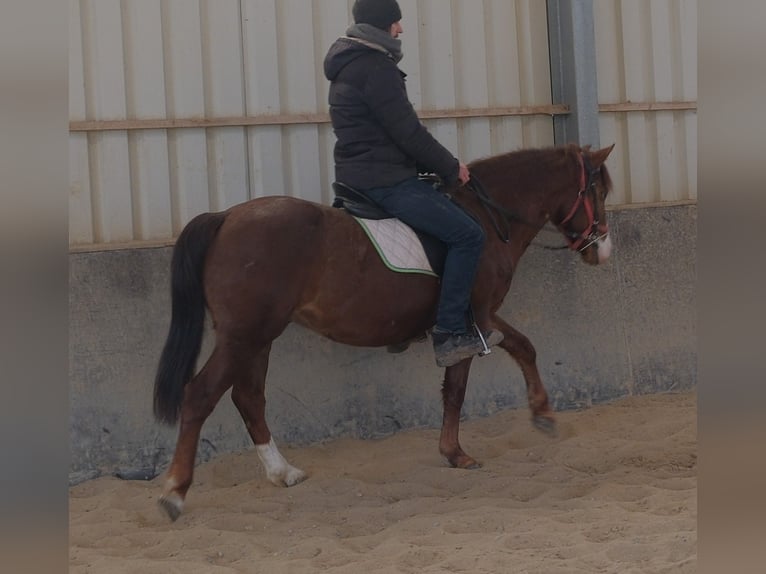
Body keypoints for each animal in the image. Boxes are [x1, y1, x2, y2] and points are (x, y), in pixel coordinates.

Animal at [153, 143, 615, 521]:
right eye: (599, 192)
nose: (603, 250)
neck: (486, 216)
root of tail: (226, 216)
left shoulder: (476, 318)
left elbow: (523, 347)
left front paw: (543, 415)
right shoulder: (471, 321)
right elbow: (458, 388)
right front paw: (457, 454)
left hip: (257, 338)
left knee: (248, 398)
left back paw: (282, 472)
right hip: (244, 336)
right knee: (200, 396)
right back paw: (175, 493)